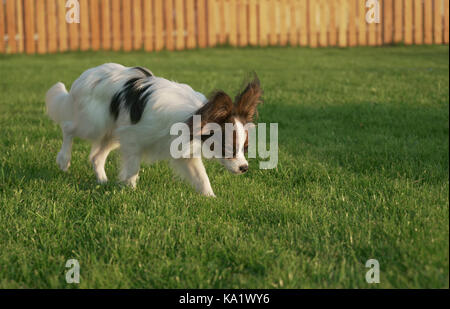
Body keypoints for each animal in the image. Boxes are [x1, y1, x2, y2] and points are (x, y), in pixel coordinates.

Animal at [44, 63, 262, 196]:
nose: (245, 168)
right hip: (94, 123)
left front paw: (211, 198)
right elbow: (133, 168)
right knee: (68, 128)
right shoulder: (133, 139)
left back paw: (103, 180)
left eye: (245, 148)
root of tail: (88, 74)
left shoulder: (185, 154)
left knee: (96, 157)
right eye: (228, 149)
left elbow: (202, 177)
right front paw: (130, 190)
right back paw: (64, 159)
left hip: (113, 133)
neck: (194, 116)